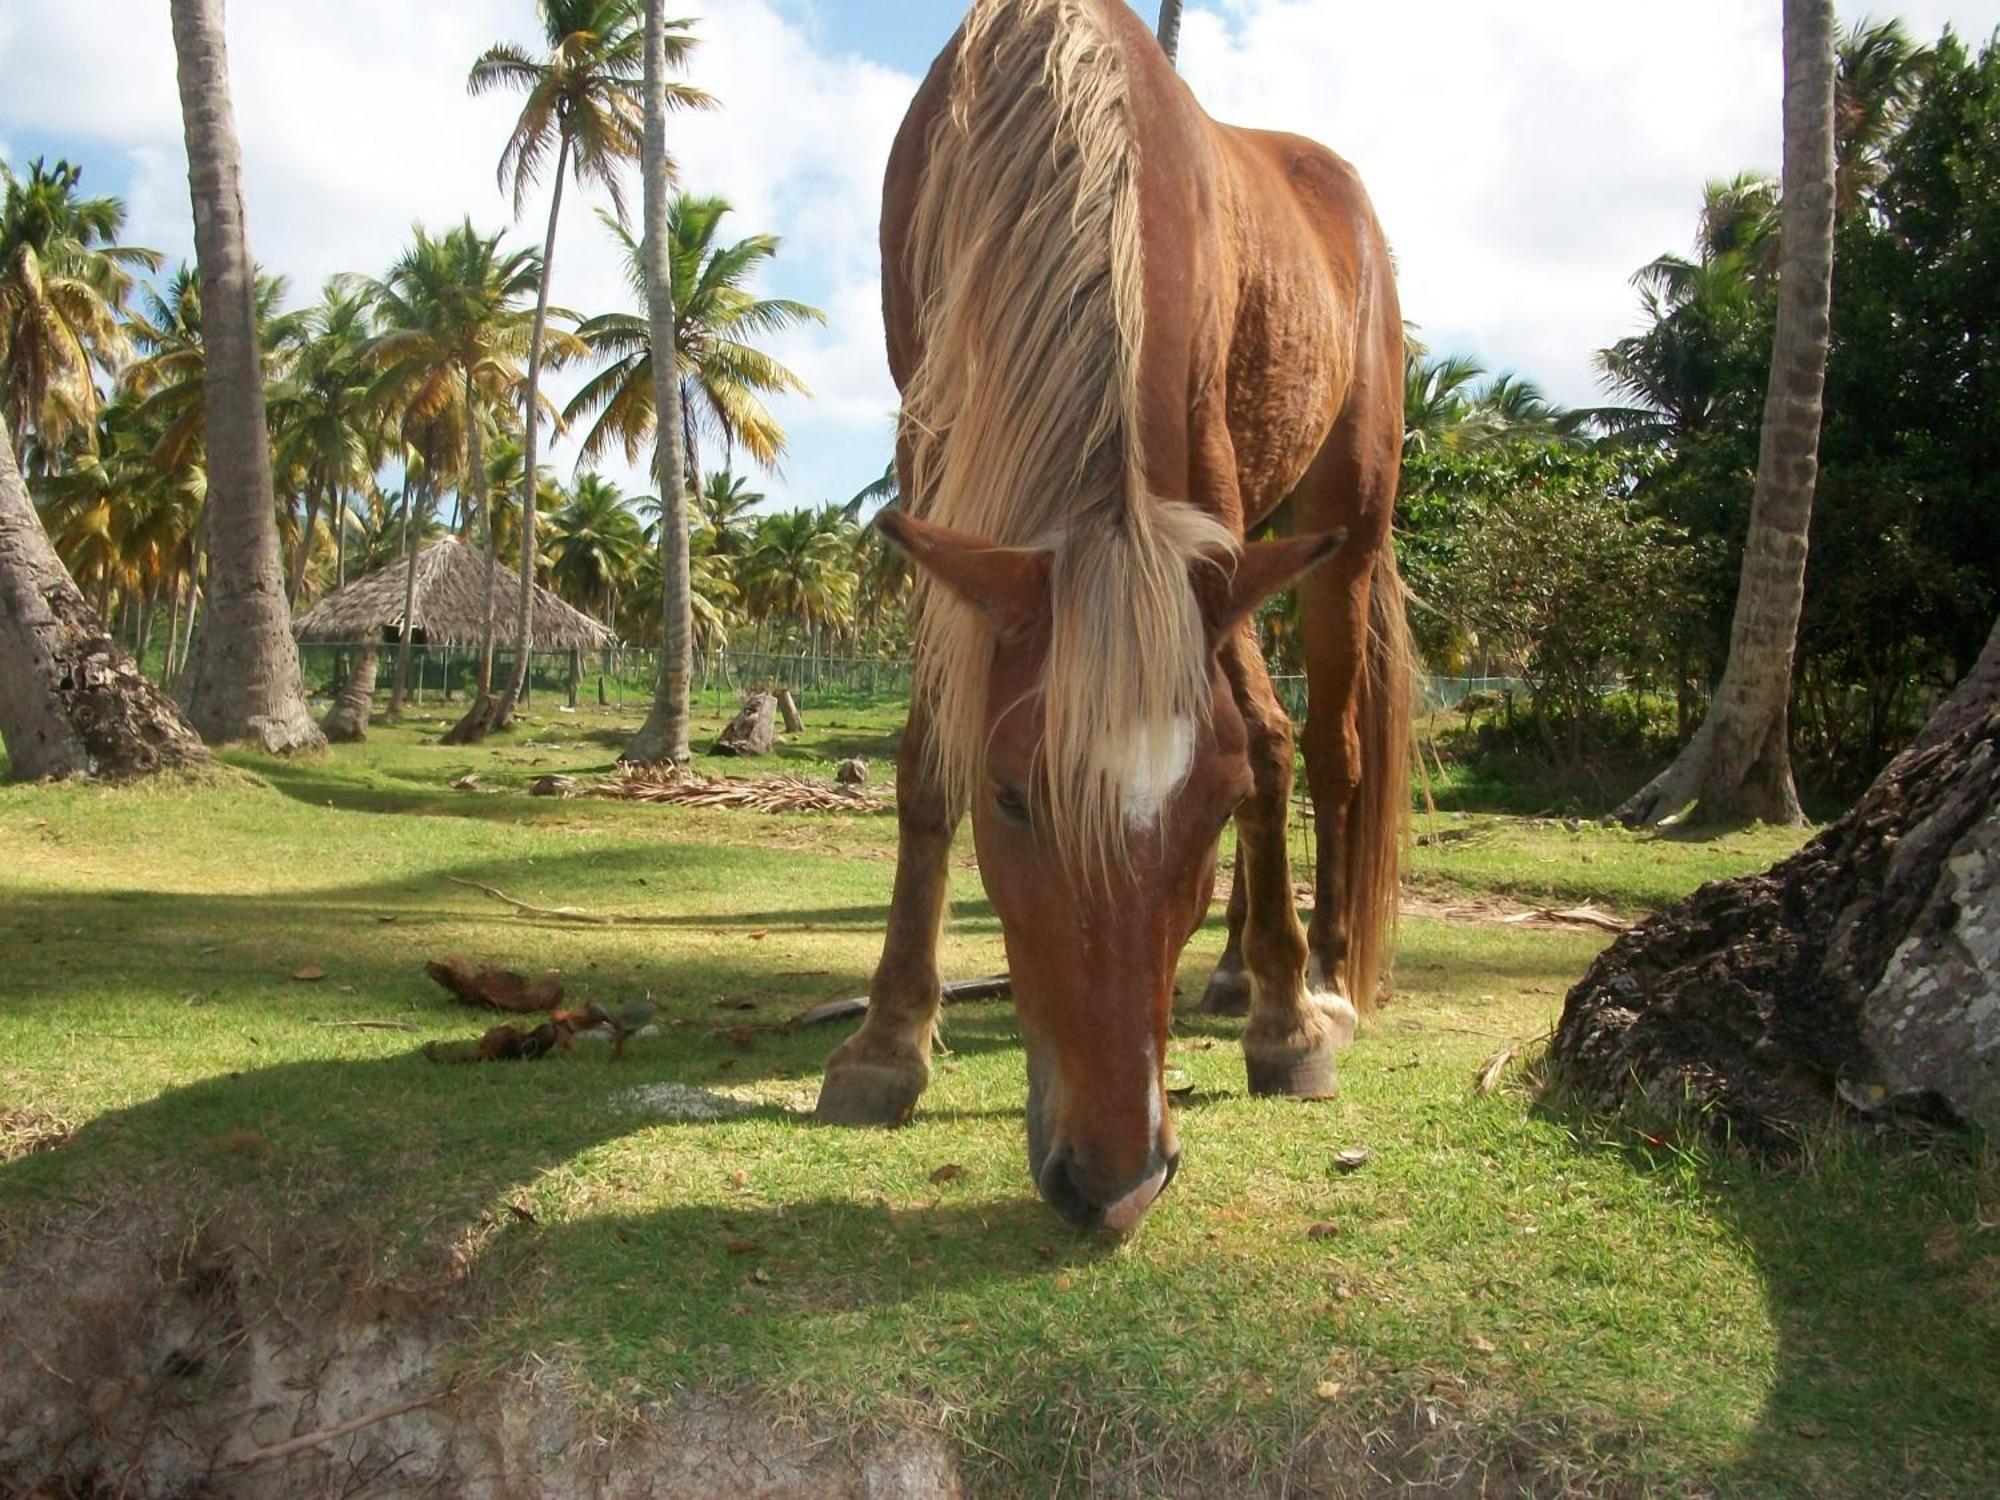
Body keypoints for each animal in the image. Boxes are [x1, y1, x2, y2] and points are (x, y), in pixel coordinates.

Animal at [808, 0, 1408, 1232]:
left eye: (1204, 803)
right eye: (1011, 798)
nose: (1117, 1181)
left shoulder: (1208, 481)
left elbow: (1261, 751)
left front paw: (1287, 1029)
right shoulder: (935, 452)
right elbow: (925, 759)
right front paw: (886, 1045)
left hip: (1344, 532)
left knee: (1326, 749)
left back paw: (1316, 977)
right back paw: (1234, 969)